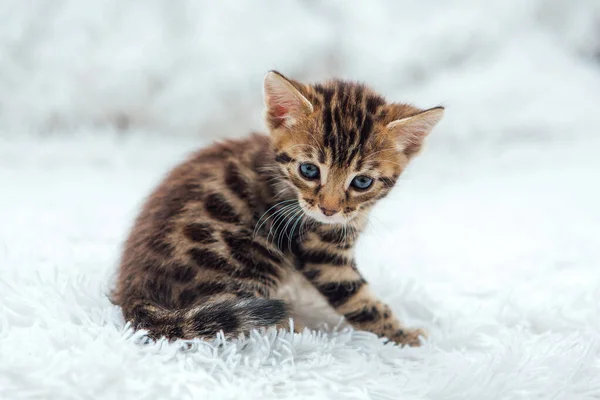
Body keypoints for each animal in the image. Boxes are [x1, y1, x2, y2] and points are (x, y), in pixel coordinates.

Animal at [112, 72, 442, 346]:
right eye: (309, 170)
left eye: (362, 181)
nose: (329, 209)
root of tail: (132, 294)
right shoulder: (322, 255)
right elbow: (360, 301)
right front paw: (405, 336)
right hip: (247, 254)